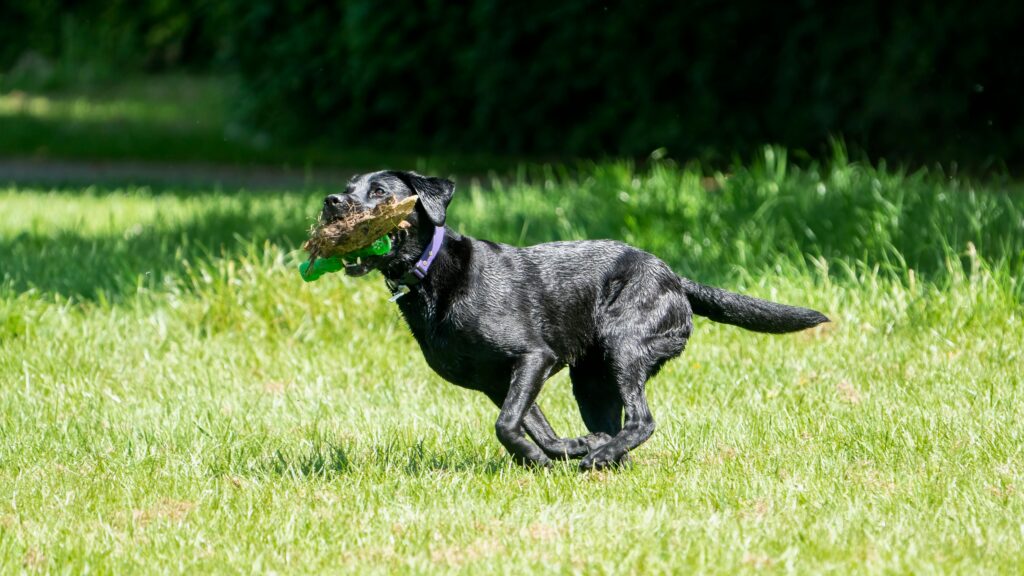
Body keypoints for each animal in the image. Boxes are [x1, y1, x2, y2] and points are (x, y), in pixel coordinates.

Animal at [323, 169, 827, 467]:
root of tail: (675, 279)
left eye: (379, 192)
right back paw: (601, 454)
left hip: (624, 346)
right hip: (591, 379)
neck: (432, 276)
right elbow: (533, 426)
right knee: (615, 424)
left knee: (642, 420)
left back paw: (600, 458)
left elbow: (507, 424)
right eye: (348, 189)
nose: (331, 201)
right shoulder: (498, 381)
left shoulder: (533, 357)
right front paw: (561, 451)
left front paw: (546, 459)